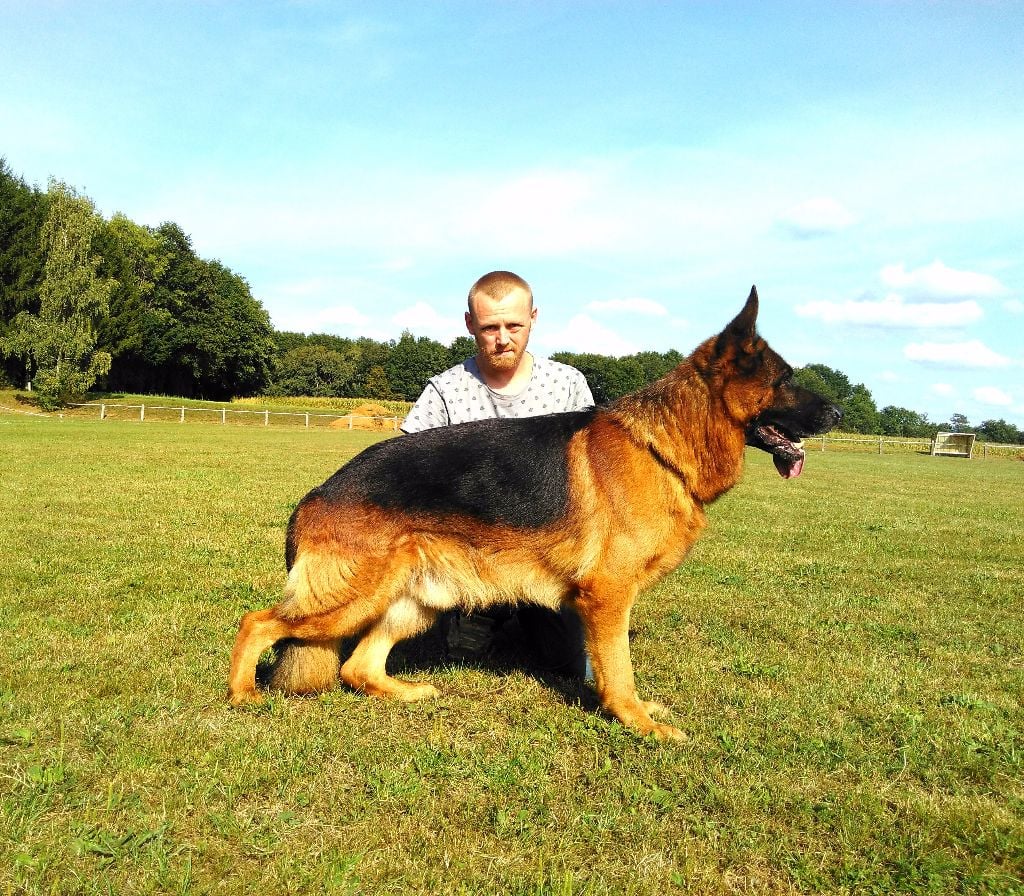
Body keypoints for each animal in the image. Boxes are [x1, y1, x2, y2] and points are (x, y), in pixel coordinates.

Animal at [230, 290, 839, 741]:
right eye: (785, 378)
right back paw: (242, 695)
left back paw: (406, 692)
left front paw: (641, 712)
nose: (837, 411)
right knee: (258, 622)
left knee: (357, 667)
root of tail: (316, 493)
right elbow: (619, 669)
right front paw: (638, 723)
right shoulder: (608, 596)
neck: (661, 447)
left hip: (415, 599)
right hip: (350, 595)